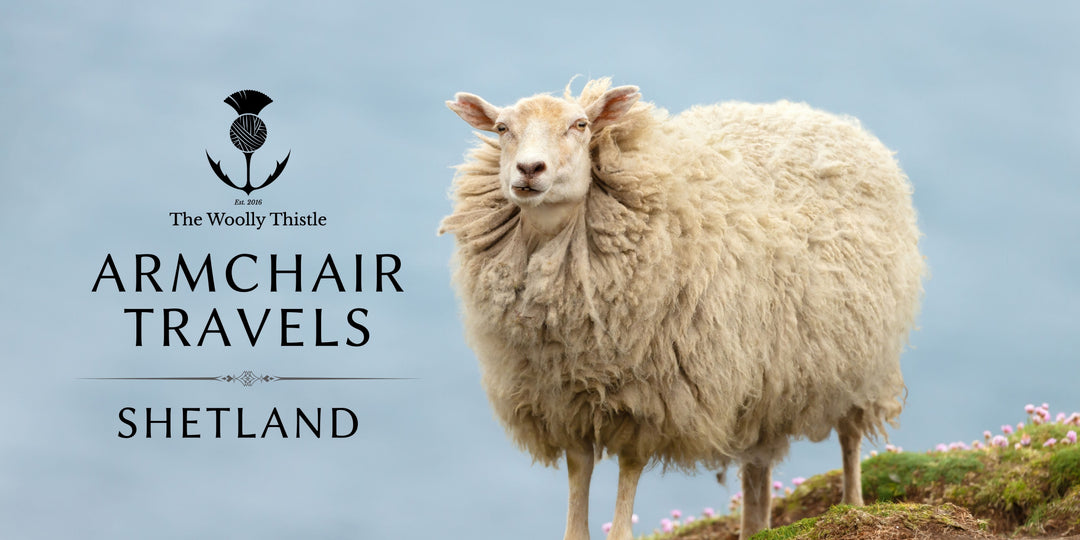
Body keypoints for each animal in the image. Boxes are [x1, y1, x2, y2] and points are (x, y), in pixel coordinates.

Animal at [439, 78, 924, 540]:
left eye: (580, 125)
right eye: (502, 128)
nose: (529, 170)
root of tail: (819, 115)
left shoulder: (650, 399)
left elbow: (627, 484)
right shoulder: (562, 403)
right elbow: (579, 485)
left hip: (860, 359)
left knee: (849, 436)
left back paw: (853, 506)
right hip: (767, 377)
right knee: (758, 465)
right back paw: (754, 528)